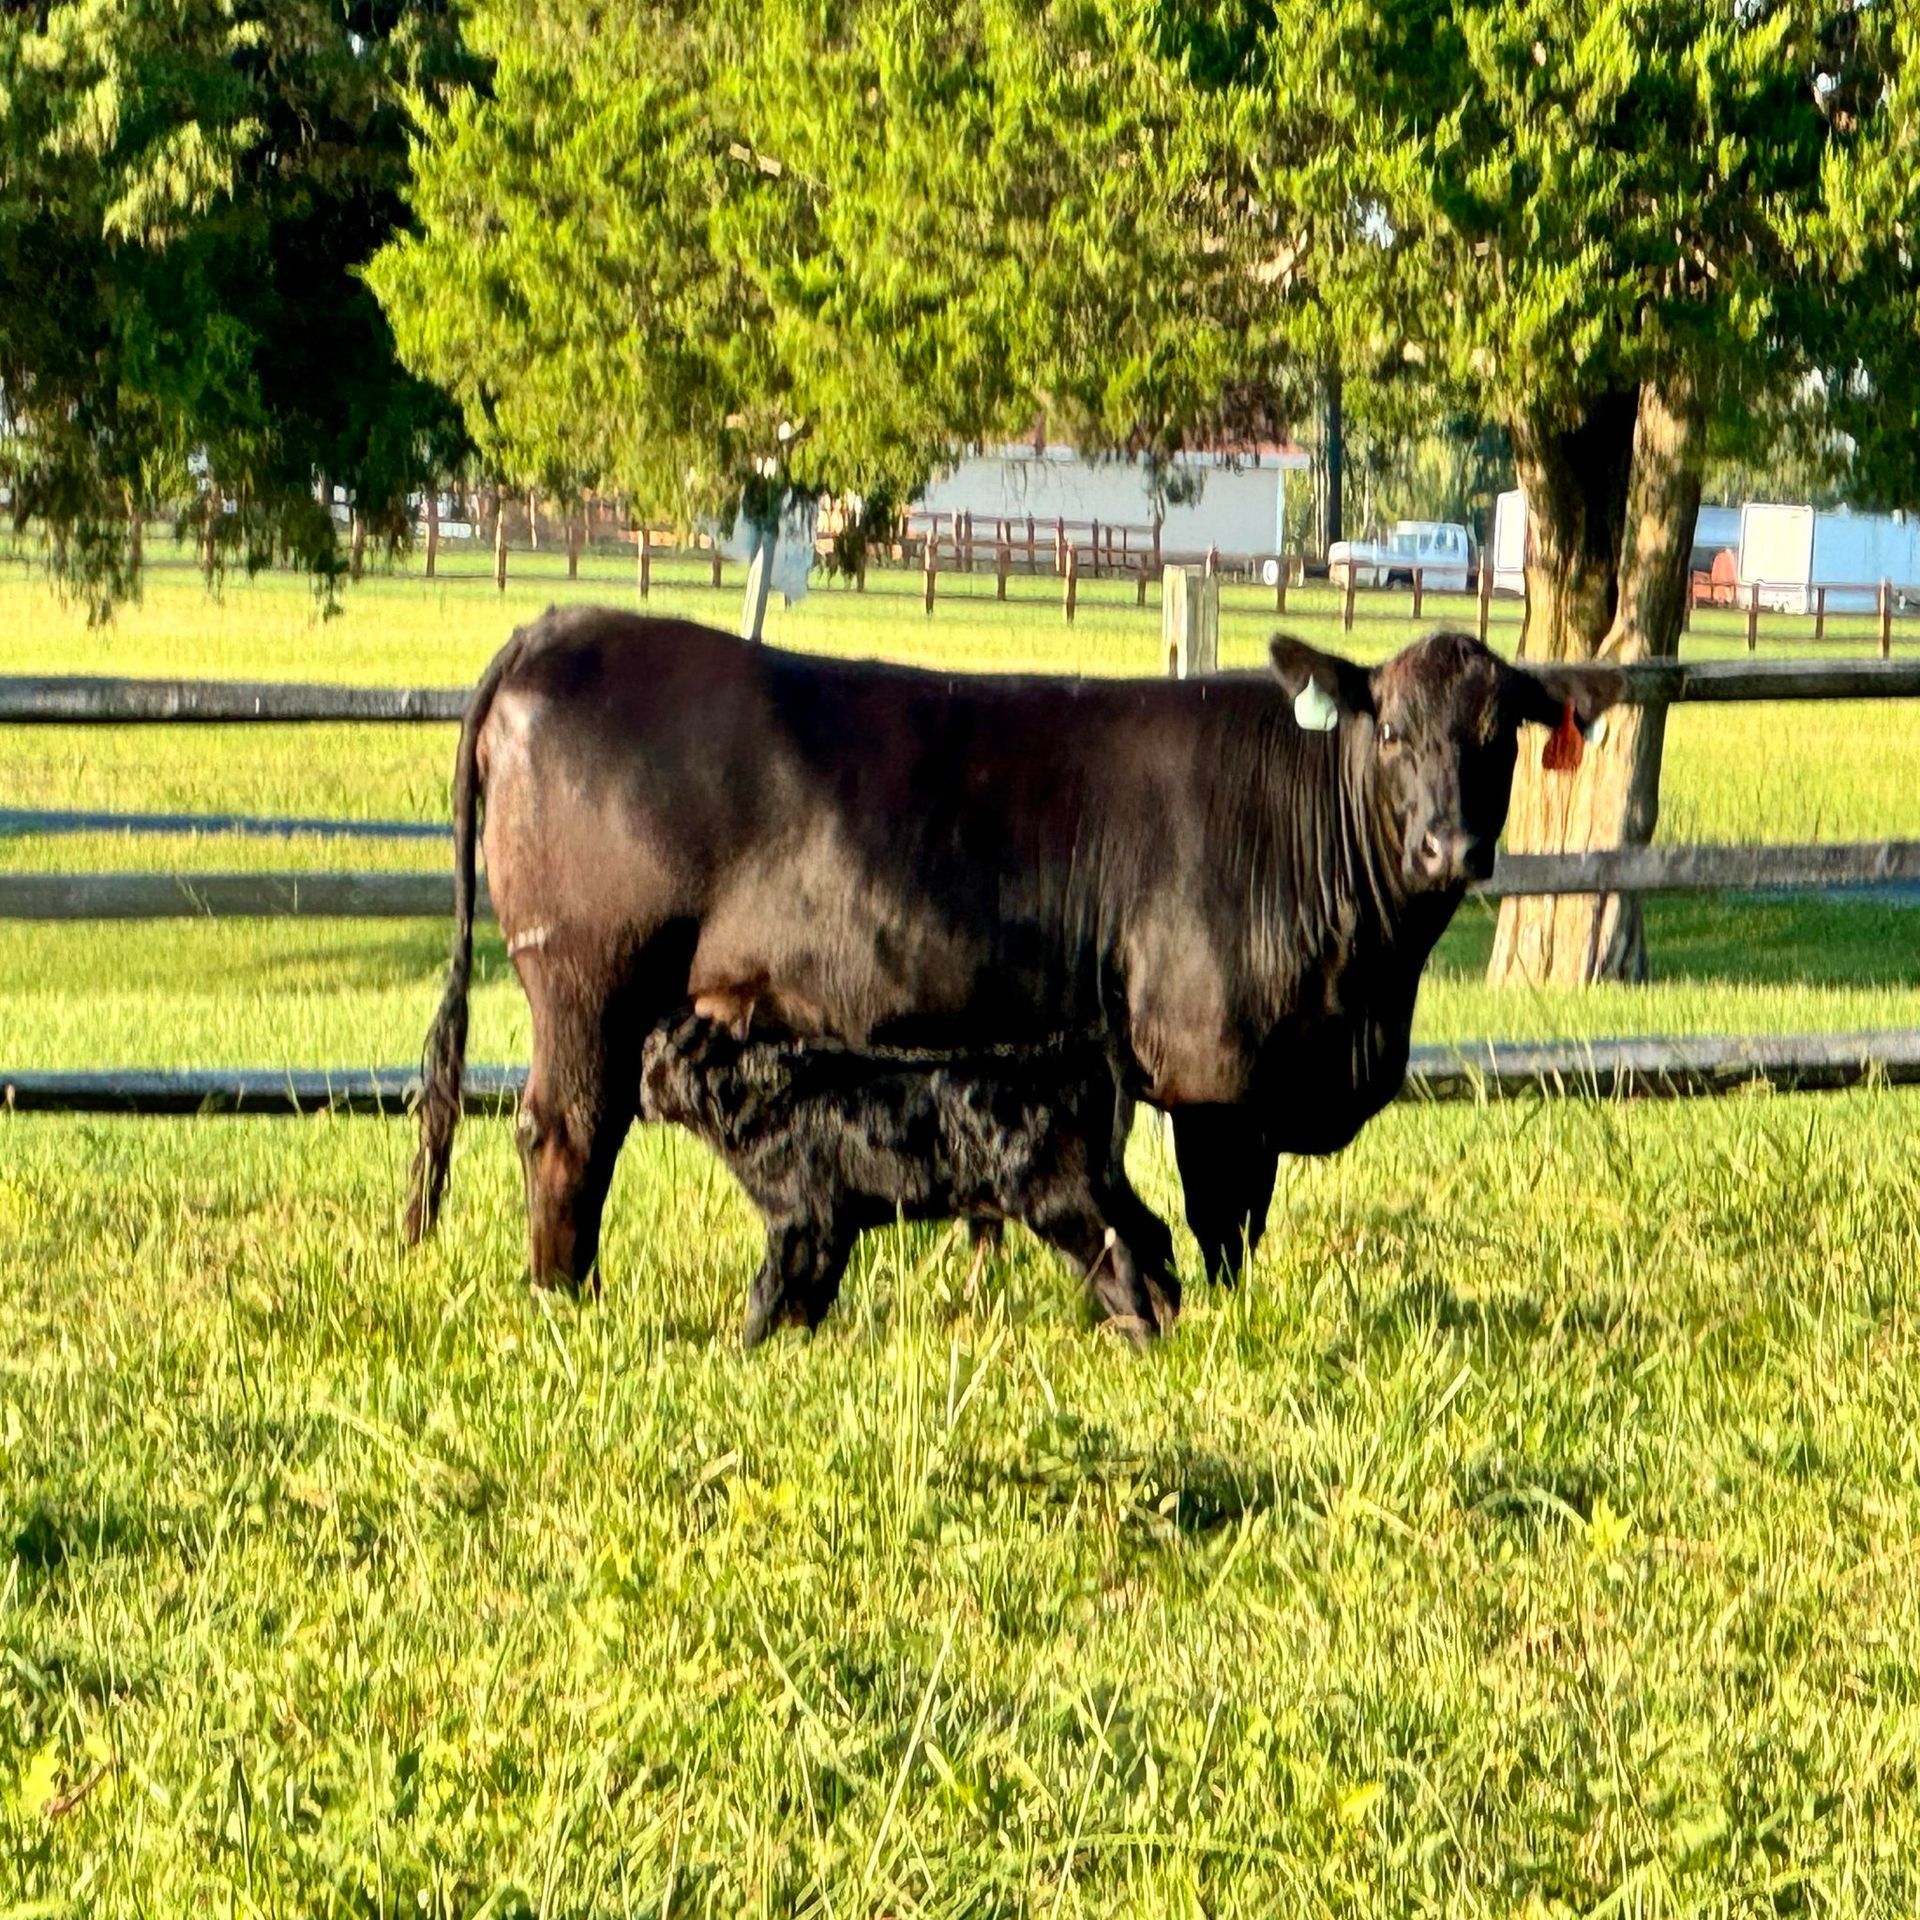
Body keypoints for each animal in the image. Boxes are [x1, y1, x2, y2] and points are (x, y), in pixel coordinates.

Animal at [404, 608, 1618, 1308]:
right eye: (1395, 732)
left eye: (1499, 735)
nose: (1448, 845)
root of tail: (563, 627)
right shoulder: (1215, 1077)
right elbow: (1224, 1225)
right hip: (587, 978)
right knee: (567, 1132)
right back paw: (565, 1303)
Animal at [638, 1011, 1178, 1344]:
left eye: (647, 1056)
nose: (638, 1099)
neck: (763, 1086)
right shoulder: (829, 1225)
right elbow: (811, 1290)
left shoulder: (799, 1218)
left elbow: (769, 1288)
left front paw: (745, 1350)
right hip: (1102, 1181)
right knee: (1151, 1234)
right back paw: (1171, 1322)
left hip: (1056, 1195)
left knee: (1118, 1255)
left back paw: (1141, 1336)